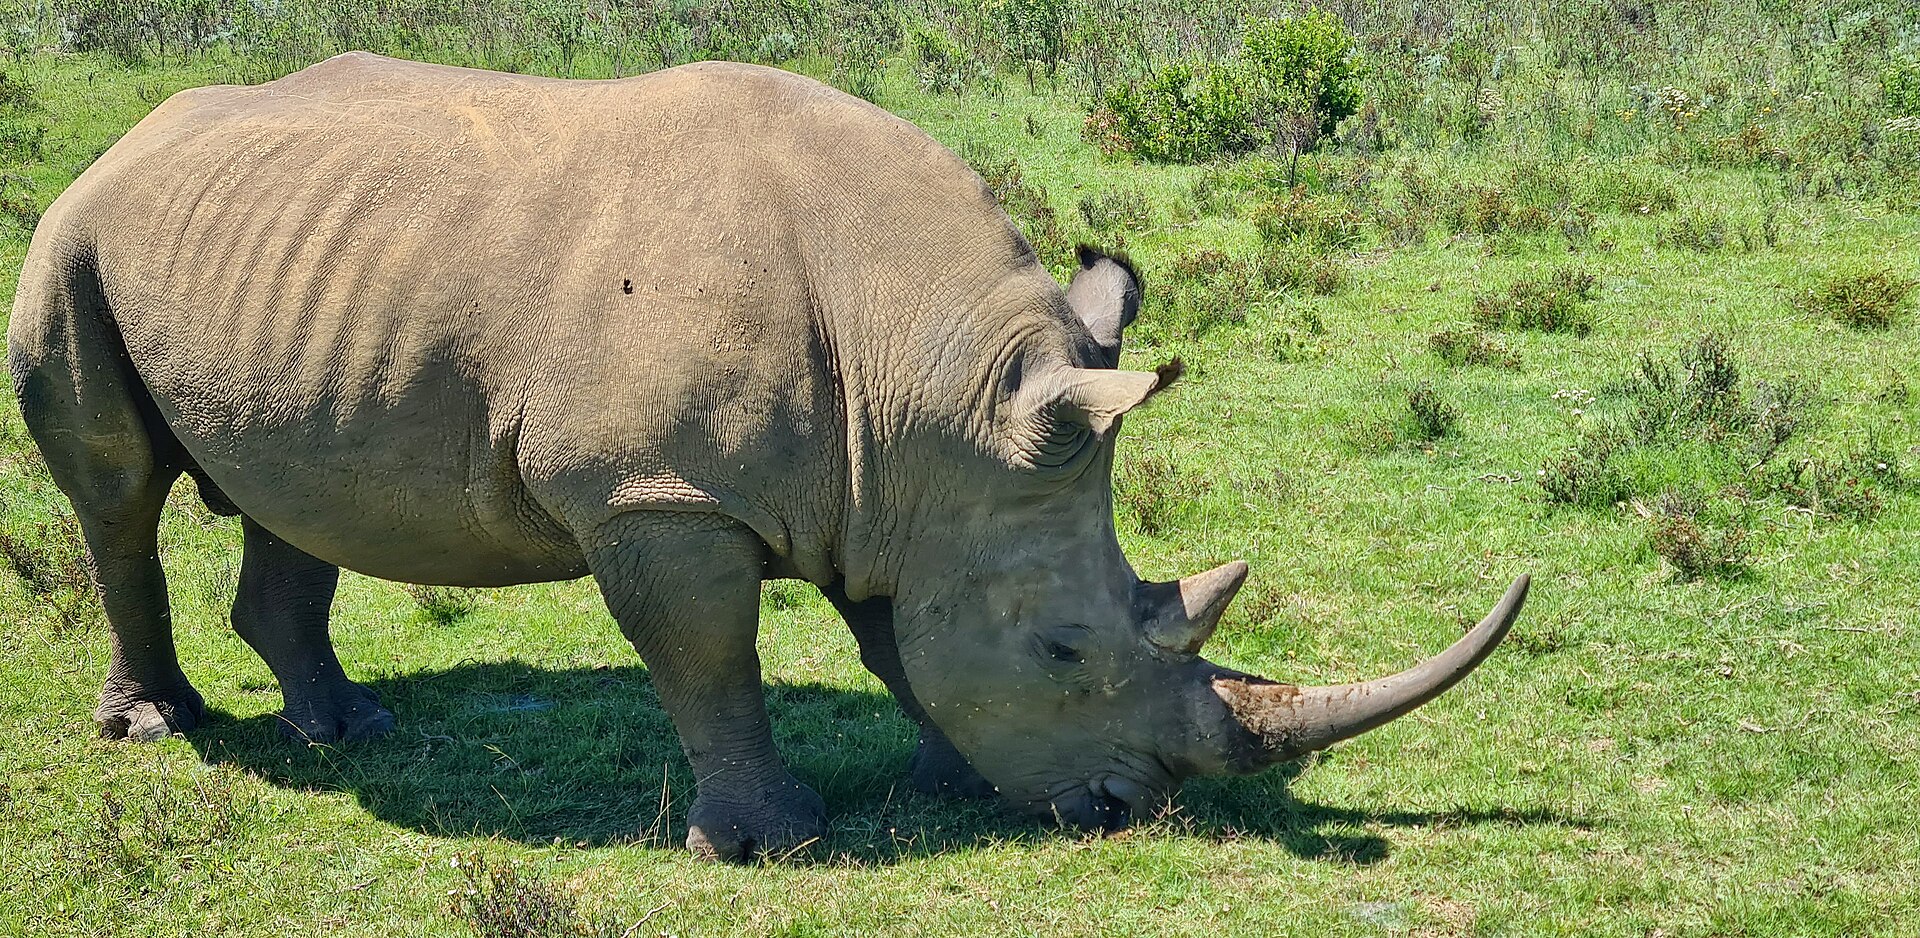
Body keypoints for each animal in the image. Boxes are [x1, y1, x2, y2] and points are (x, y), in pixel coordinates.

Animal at [9, 53, 1527, 861]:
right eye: (1065, 649)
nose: (1121, 808)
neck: (931, 385)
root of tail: (133, 133)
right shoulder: (658, 495)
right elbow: (710, 654)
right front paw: (767, 842)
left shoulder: (910, 491)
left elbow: (896, 637)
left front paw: (943, 775)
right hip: (71, 235)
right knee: (116, 490)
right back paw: (161, 728)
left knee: (287, 487)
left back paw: (350, 730)